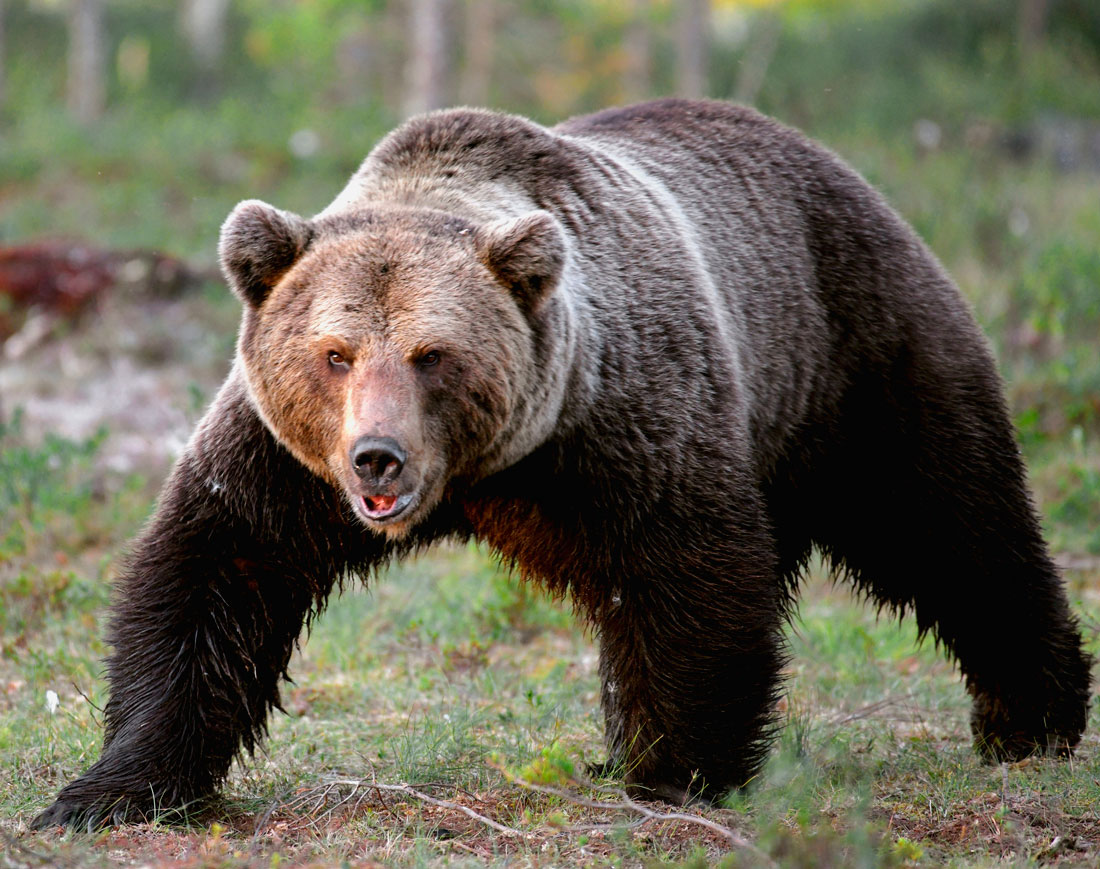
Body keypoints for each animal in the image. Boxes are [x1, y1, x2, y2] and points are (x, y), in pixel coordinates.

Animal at [32, 98, 1091, 827]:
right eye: (334, 353)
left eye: (433, 353)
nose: (377, 460)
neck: (484, 475)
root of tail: (833, 163)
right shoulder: (284, 464)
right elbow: (211, 577)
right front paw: (107, 790)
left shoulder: (620, 423)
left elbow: (687, 576)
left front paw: (679, 768)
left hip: (857, 359)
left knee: (954, 523)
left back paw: (1032, 717)